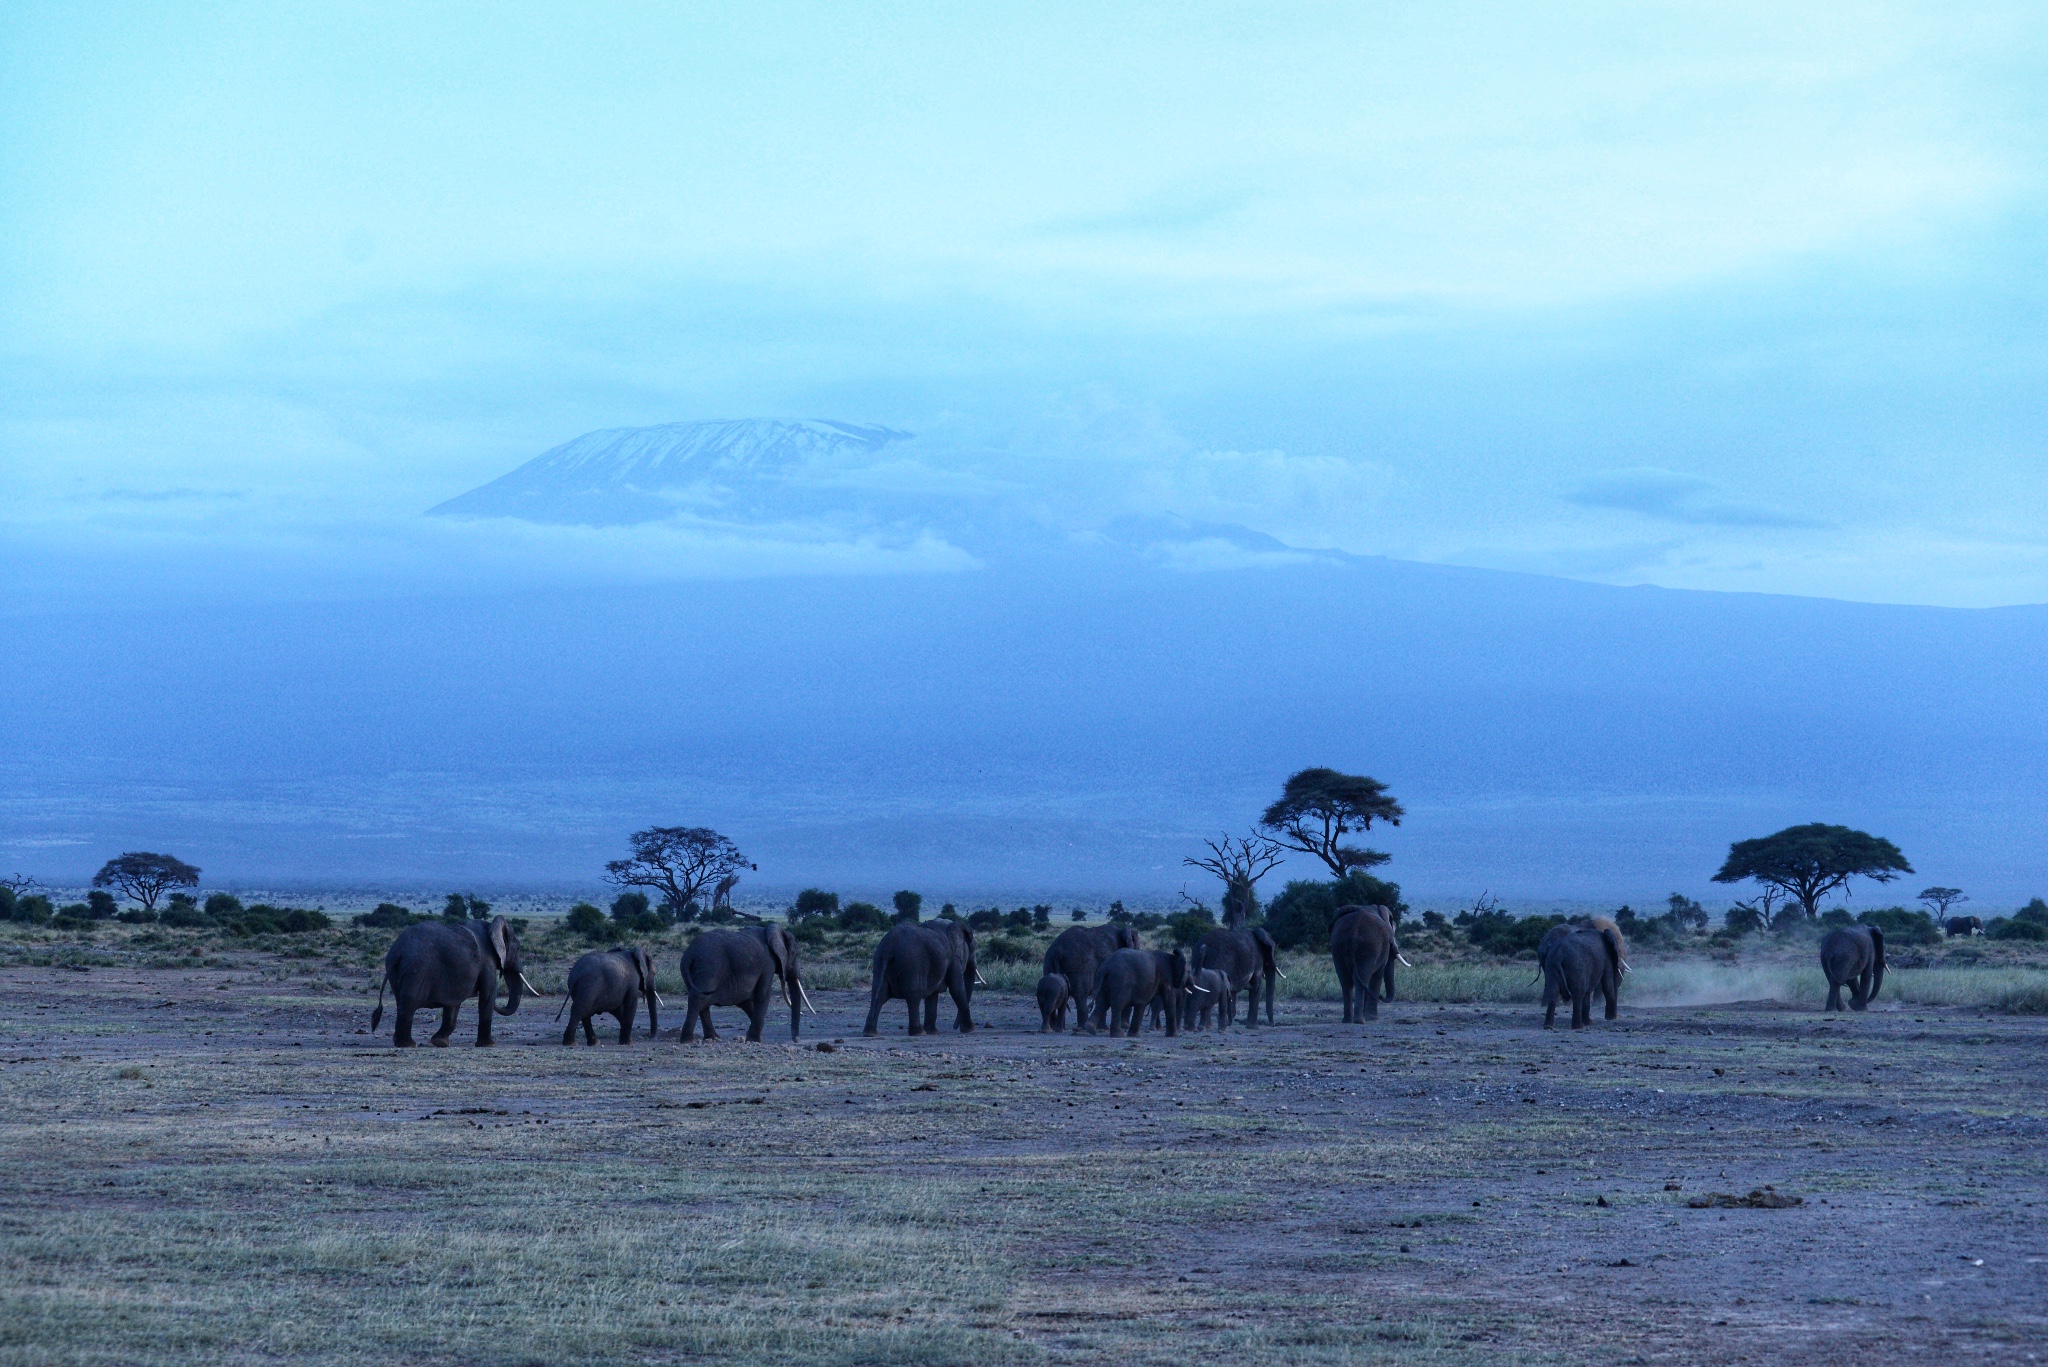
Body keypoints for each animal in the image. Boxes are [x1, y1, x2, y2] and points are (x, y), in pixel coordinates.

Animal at [370, 918, 528, 1049]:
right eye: (519, 948)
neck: (491, 925)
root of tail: (398, 951)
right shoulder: (487, 961)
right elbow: (488, 994)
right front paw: (489, 1045)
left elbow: (453, 1005)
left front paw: (440, 1043)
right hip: (416, 970)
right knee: (409, 1002)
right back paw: (408, 1045)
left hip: (397, 972)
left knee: (401, 1002)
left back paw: (401, 1043)